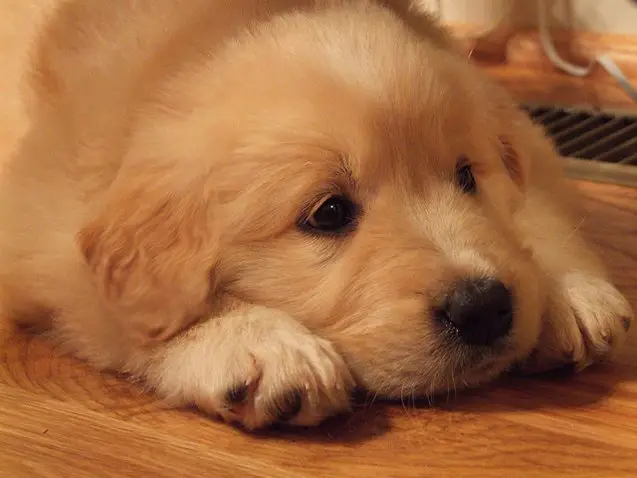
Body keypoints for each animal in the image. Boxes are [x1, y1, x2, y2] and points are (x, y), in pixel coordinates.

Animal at [0, 0, 628, 430]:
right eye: (328, 214)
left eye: (468, 177)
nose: (483, 306)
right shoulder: (40, 233)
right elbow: (122, 313)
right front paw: (253, 340)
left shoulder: (520, 128)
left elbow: (536, 198)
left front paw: (569, 291)